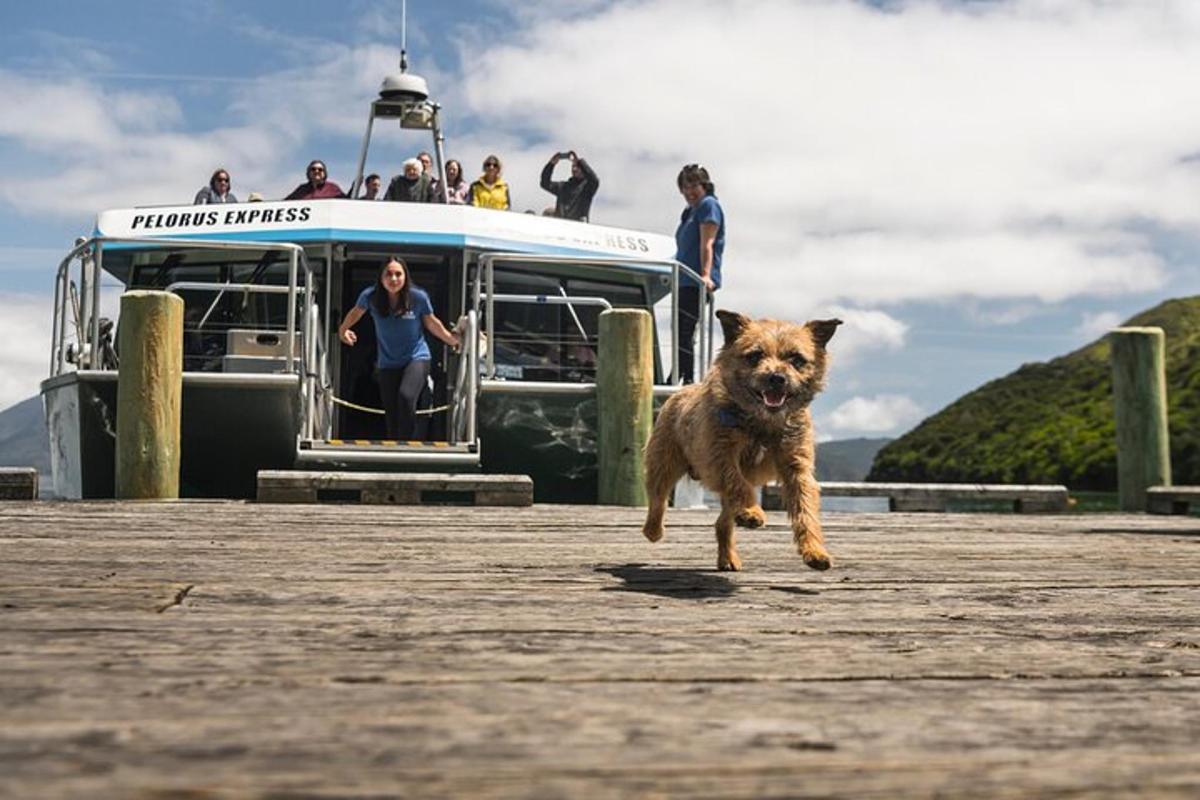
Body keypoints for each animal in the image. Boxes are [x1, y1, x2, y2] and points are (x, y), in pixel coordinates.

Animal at [638, 309, 844, 573]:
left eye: (796, 359)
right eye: (755, 356)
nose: (776, 378)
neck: (761, 421)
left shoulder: (797, 466)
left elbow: (805, 508)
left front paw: (815, 551)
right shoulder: (719, 456)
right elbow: (737, 482)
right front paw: (752, 510)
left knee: (722, 522)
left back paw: (729, 553)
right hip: (663, 462)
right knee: (658, 498)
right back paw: (653, 530)